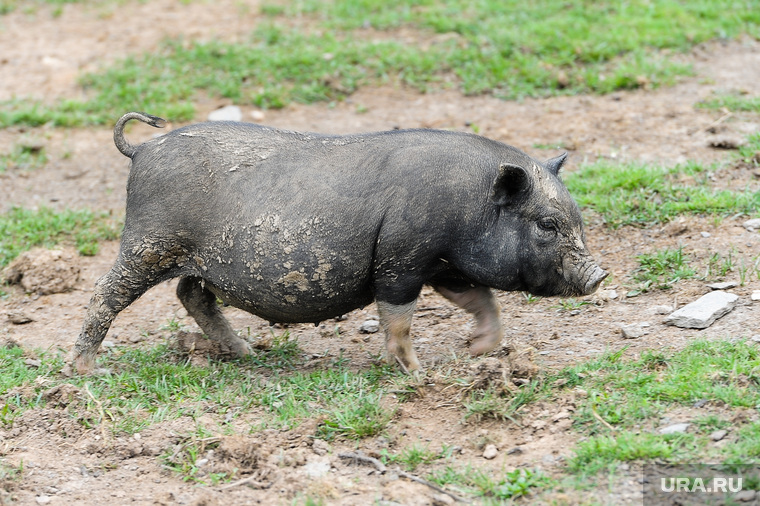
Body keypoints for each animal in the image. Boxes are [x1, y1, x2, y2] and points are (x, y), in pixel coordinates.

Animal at [68, 113, 608, 376]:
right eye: (546, 225)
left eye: (575, 219)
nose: (599, 274)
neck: (469, 203)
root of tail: (143, 148)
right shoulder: (402, 260)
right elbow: (398, 319)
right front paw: (418, 374)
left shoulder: (444, 266)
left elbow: (481, 299)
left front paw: (480, 350)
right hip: (148, 243)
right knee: (103, 294)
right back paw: (85, 372)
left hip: (196, 259)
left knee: (191, 293)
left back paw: (247, 353)